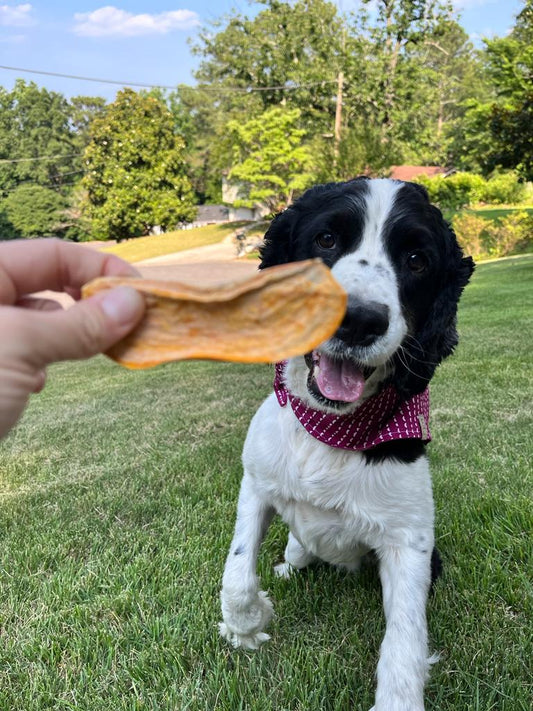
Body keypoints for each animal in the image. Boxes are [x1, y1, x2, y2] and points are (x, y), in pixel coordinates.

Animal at [218, 175, 472, 708]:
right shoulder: (255, 483)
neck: (330, 428)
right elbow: (237, 574)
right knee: (297, 551)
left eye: (416, 260)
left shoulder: (410, 542)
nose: (358, 320)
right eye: (327, 239)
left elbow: (405, 643)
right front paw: (246, 627)